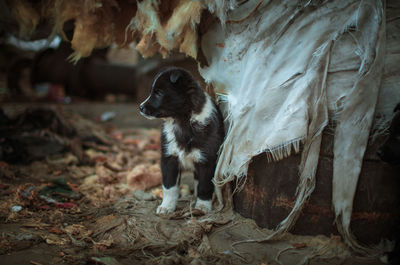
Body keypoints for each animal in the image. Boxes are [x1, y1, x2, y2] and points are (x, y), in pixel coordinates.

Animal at [139, 67, 225, 213]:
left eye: (159, 93)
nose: (140, 107)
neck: (182, 121)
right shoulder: (169, 157)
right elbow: (169, 187)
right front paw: (166, 206)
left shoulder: (207, 160)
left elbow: (204, 186)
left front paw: (202, 207)